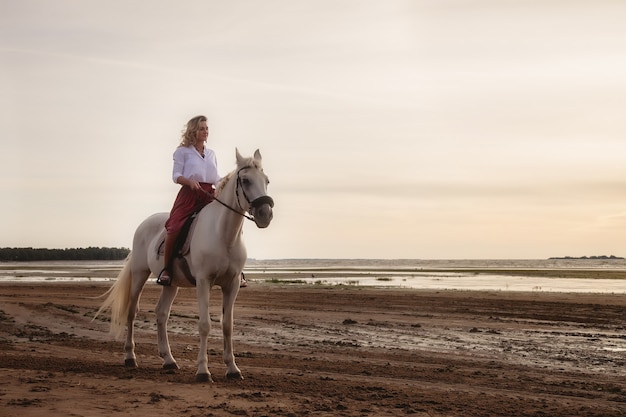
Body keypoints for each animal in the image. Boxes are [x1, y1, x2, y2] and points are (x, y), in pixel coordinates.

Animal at [96, 149, 272, 380]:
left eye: (266, 180)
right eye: (245, 180)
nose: (265, 214)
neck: (223, 235)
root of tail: (144, 223)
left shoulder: (232, 284)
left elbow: (227, 325)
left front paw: (233, 369)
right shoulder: (204, 282)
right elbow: (205, 325)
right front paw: (203, 371)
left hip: (170, 284)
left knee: (161, 314)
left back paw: (169, 360)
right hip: (140, 274)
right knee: (132, 312)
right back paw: (130, 357)